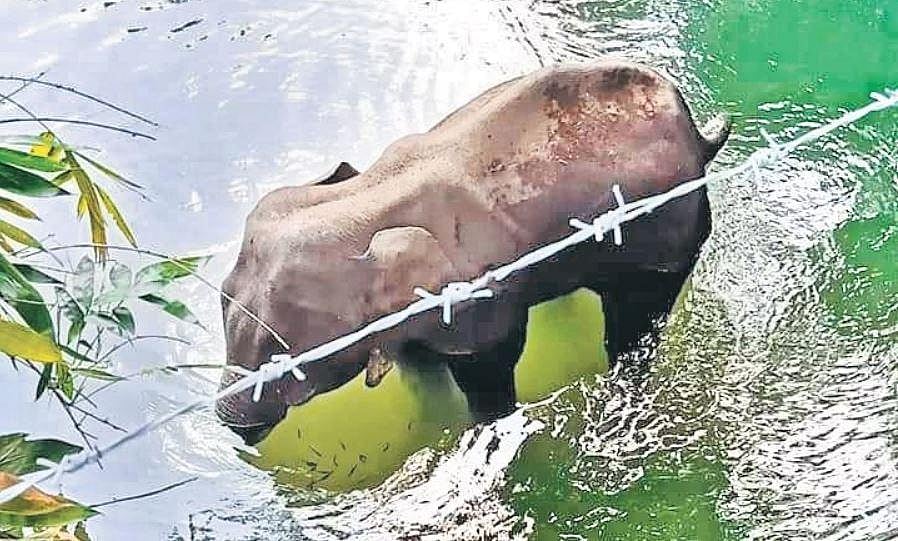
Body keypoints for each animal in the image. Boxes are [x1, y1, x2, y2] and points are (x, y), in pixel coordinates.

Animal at [216, 61, 729, 444]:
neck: (368, 201)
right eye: (222, 297)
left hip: (667, 231)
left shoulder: (477, 301)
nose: (233, 424)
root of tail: (700, 136)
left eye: (286, 356)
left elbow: (491, 366)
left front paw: (486, 427)